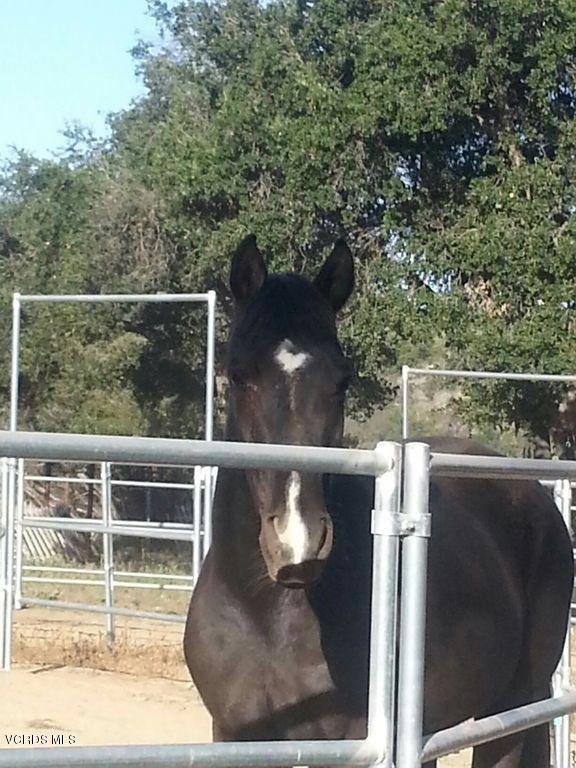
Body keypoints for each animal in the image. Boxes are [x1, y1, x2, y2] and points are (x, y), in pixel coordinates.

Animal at [184, 235, 573, 768]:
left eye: (342, 380)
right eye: (239, 374)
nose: (297, 544)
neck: (267, 615)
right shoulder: (233, 738)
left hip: (511, 709)